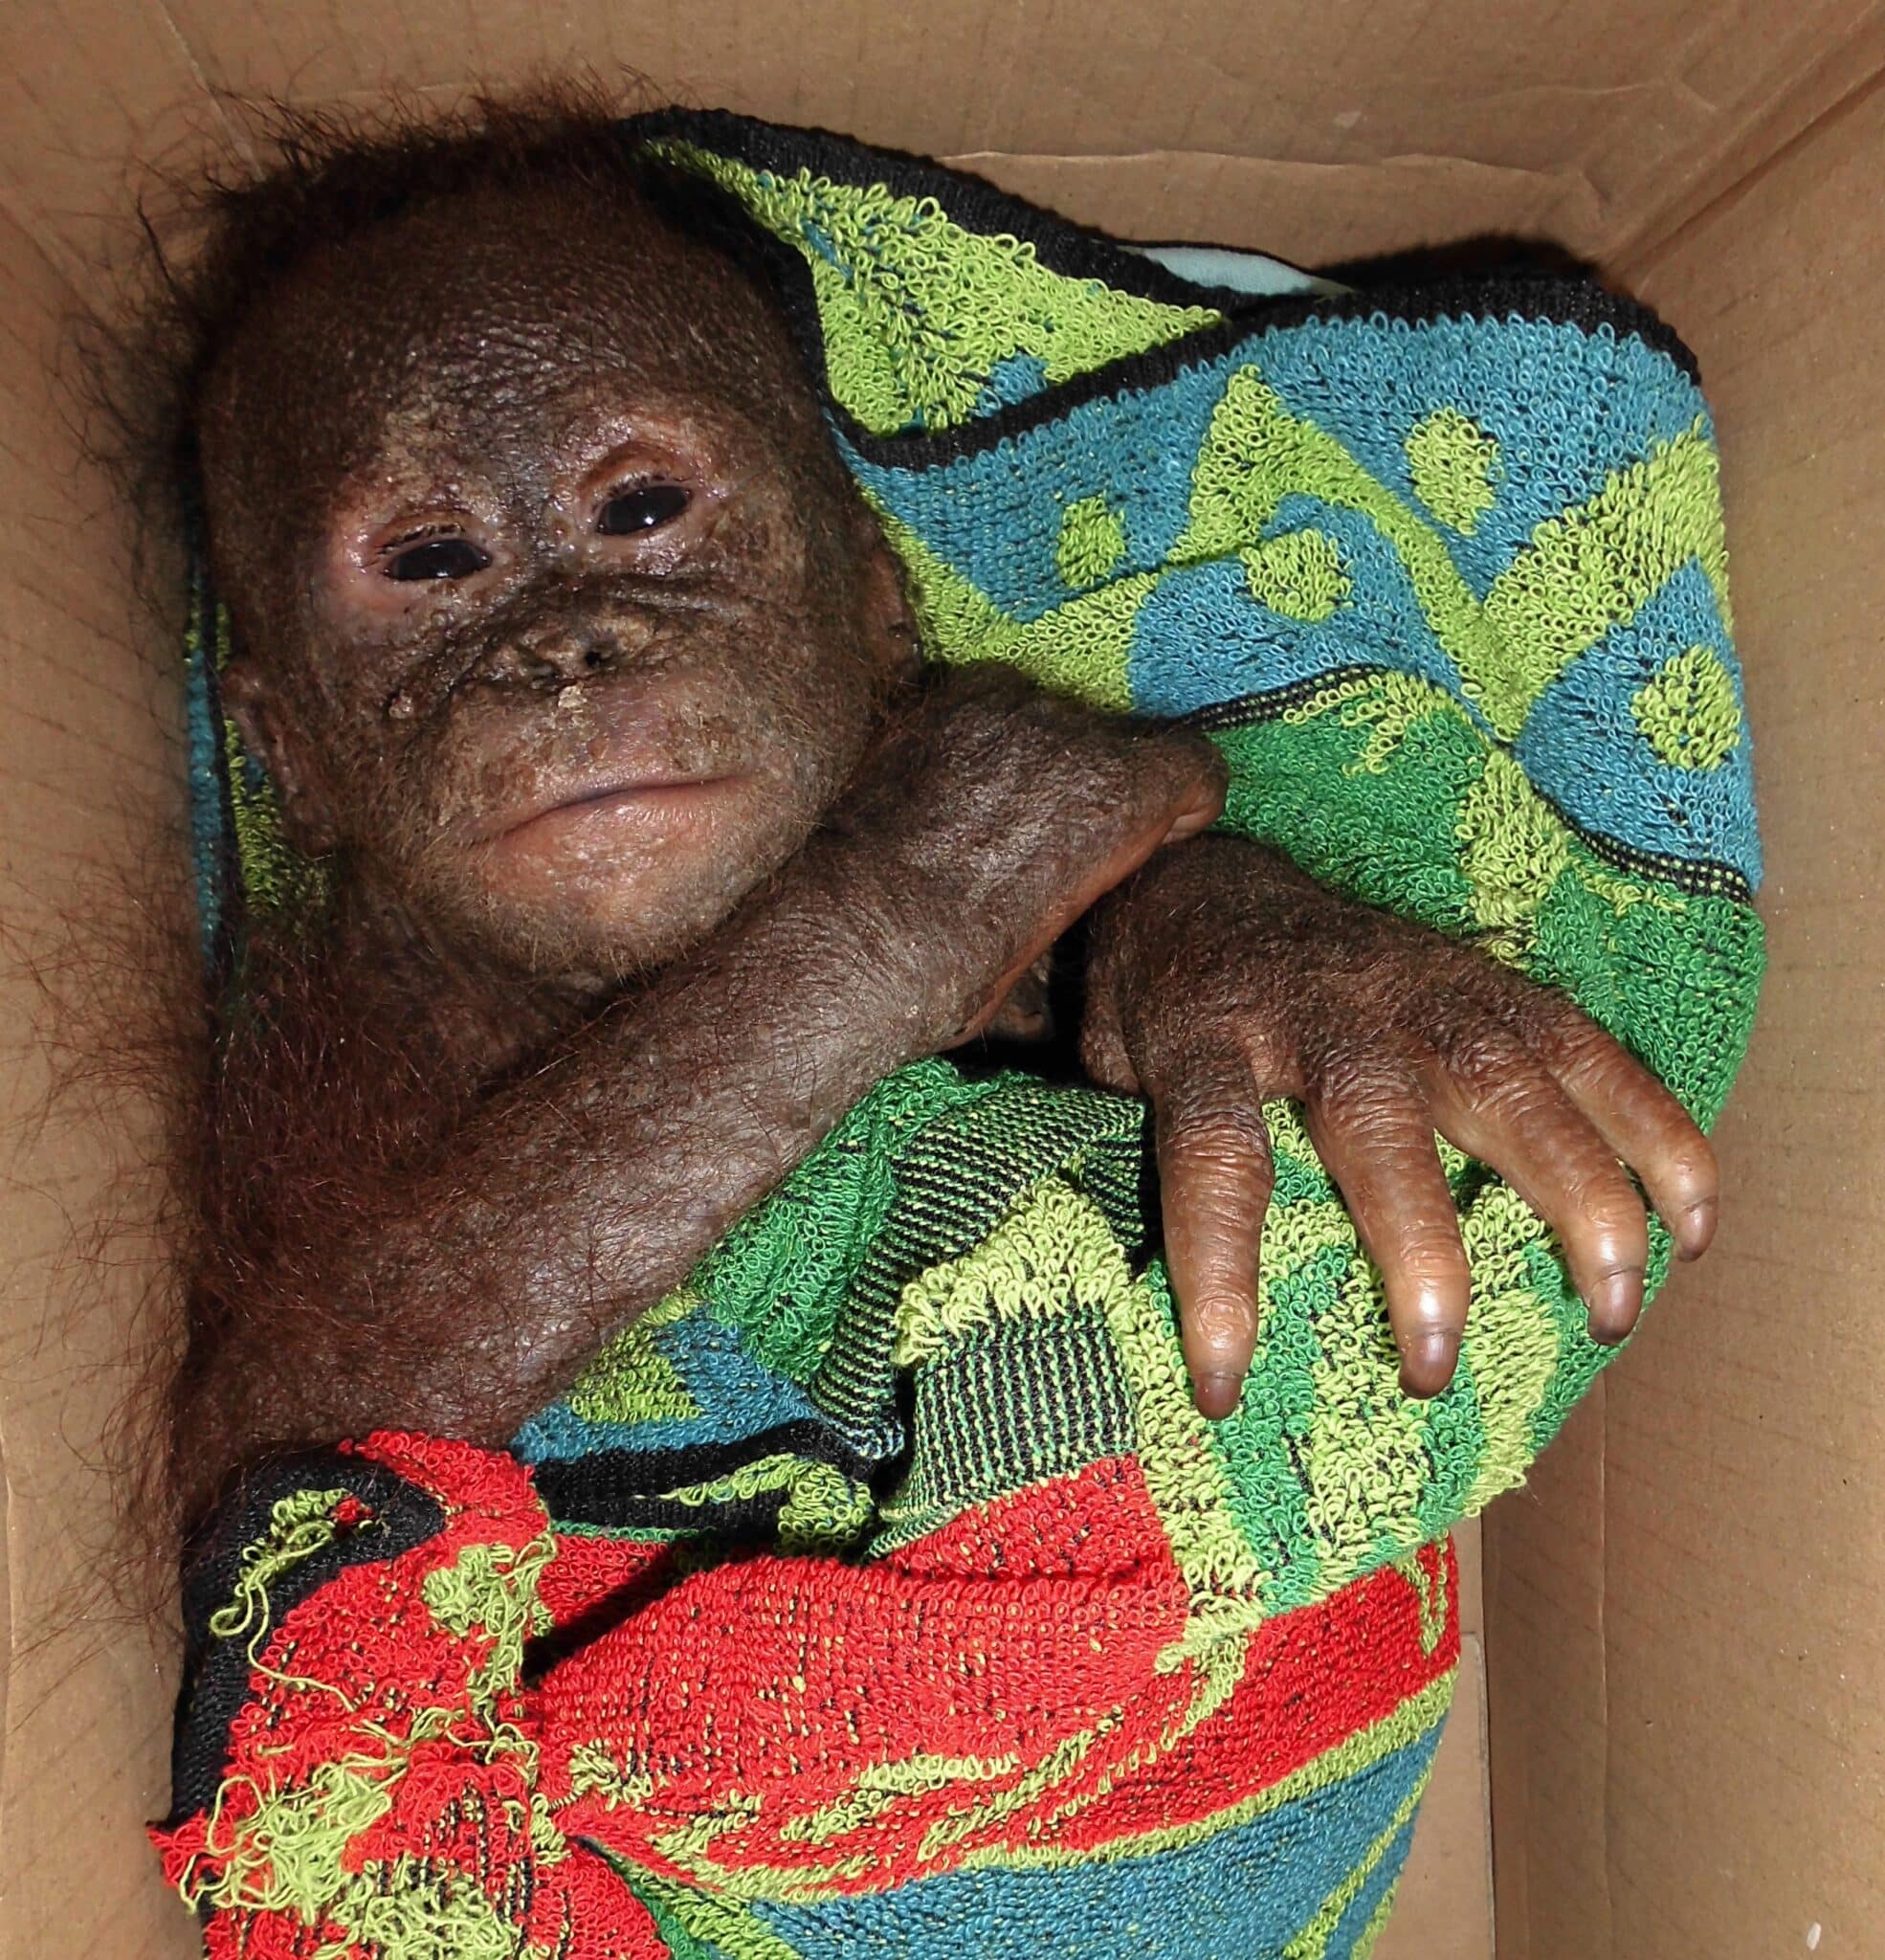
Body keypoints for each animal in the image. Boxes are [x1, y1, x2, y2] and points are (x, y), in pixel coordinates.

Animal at [146, 91, 1718, 1537]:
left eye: (642, 511)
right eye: (428, 563)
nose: (561, 654)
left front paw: (1265, 960)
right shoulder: (326, 1041)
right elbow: (267, 1414)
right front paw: (958, 852)